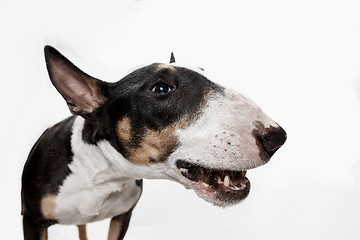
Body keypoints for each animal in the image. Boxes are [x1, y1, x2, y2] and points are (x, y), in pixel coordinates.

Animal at [21, 46, 286, 239]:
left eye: (204, 71)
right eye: (161, 88)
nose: (277, 138)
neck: (102, 176)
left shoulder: (123, 216)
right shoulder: (32, 221)